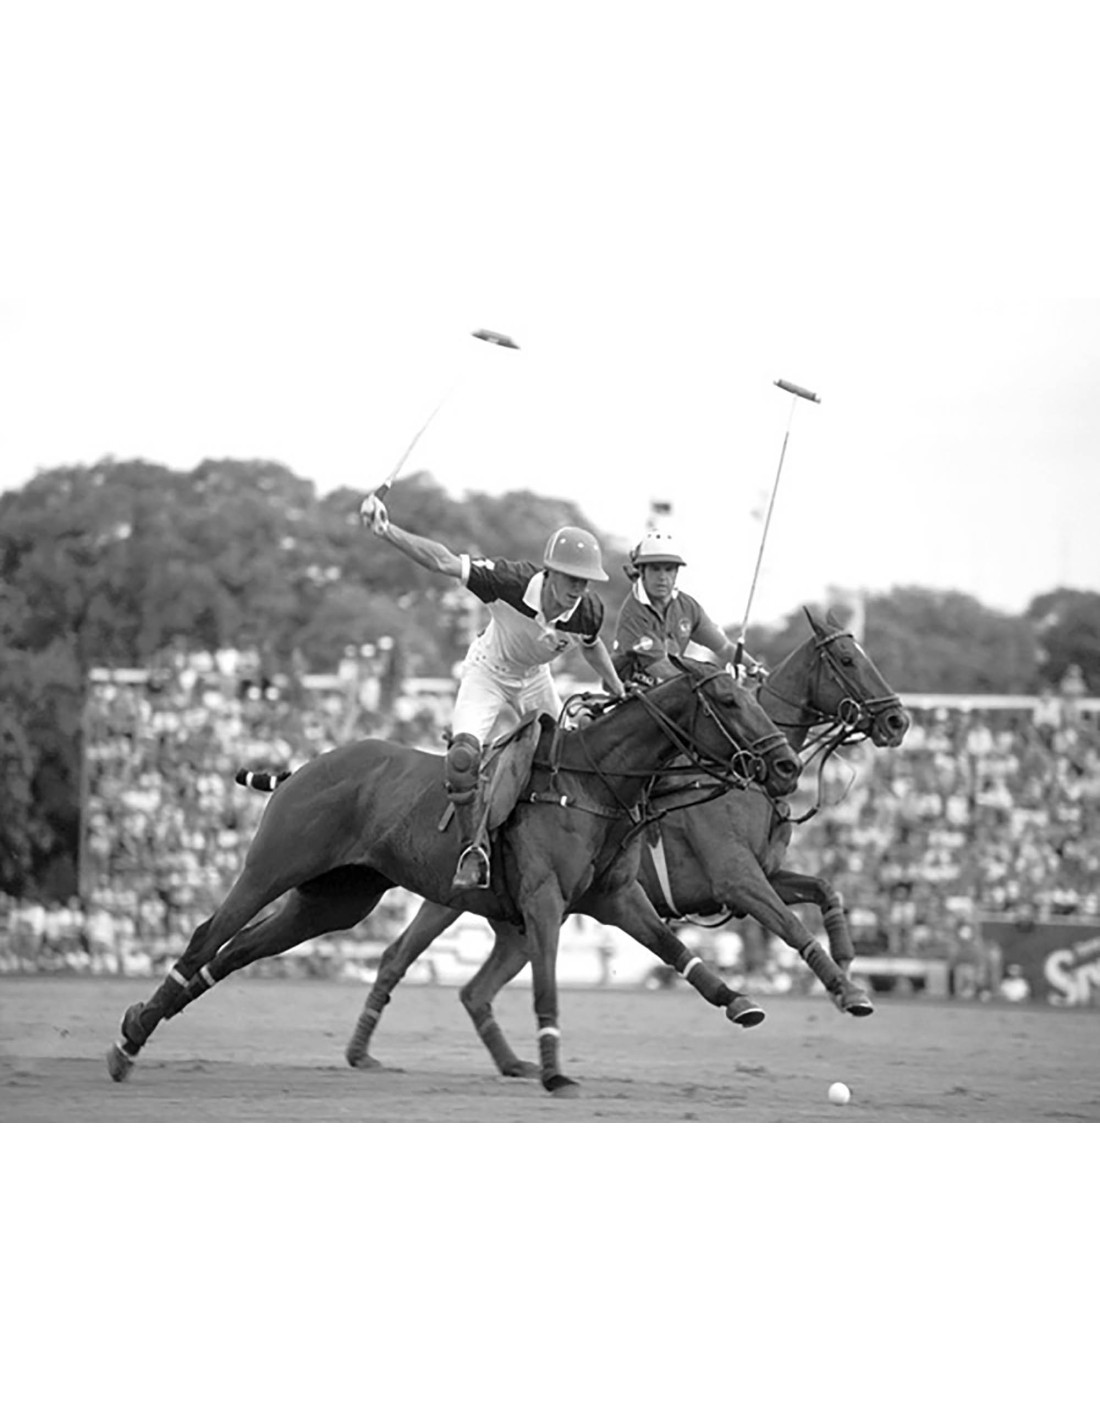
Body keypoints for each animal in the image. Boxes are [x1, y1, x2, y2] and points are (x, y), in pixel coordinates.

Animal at [104, 657, 801, 1095]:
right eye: (730, 700)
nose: (788, 766)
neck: (592, 782)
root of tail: (304, 765)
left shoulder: (617, 898)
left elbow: (677, 950)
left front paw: (740, 1002)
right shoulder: (545, 902)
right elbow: (548, 983)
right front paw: (554, 1070)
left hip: (334, 901)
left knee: (238, 952)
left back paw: (138, 1025)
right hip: (272, 867)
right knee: (207, 936)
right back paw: (129, 1042)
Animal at [342, 607, 910, 1078]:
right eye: (847, 659)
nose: (898, 720)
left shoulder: (760, 876)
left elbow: (825, 890)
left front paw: (847, 960)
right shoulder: (736, 879)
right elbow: (791, 926)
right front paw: (849, 991)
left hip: (514, 923)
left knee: (472, 990)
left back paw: (509, 1063)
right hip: (453, 899)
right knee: (396, 957)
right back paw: (363, 1051)